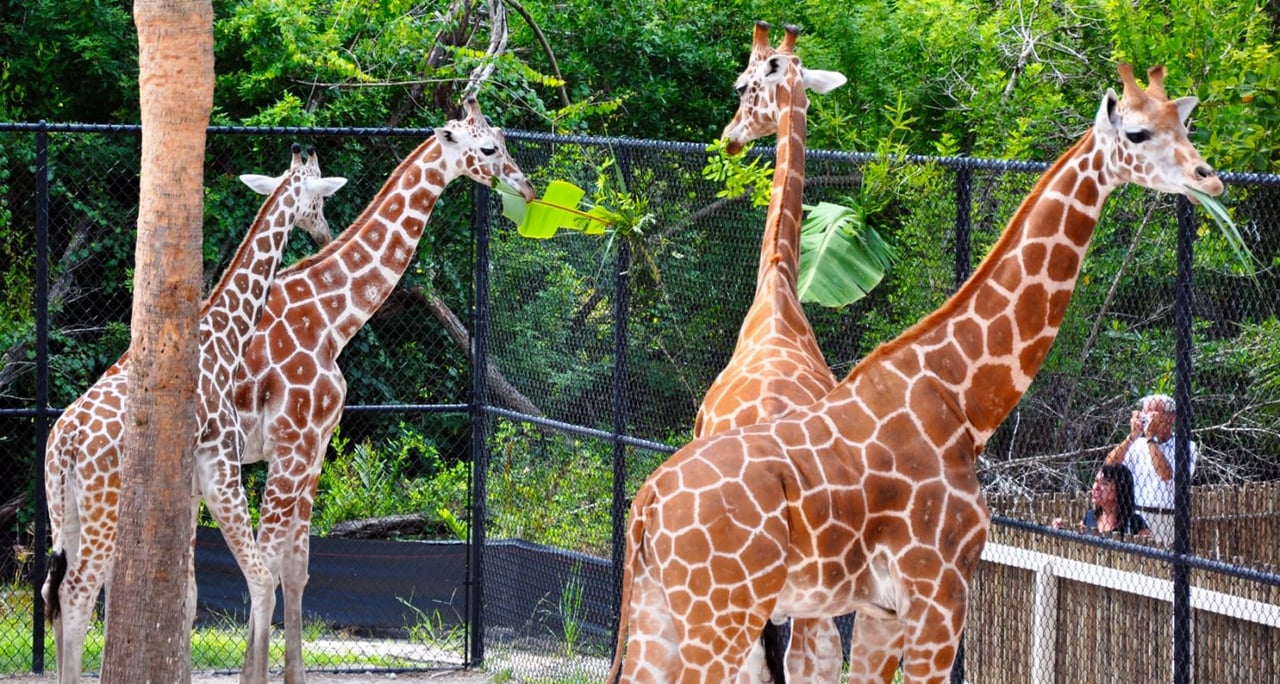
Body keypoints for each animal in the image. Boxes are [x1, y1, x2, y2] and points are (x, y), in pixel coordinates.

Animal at [42, 144, 348, 684]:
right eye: (318, 198)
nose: (324, 233)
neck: (223, 337)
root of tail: (68, 441)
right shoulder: (221, 468)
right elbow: (259, 578)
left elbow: (192, 592)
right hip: (103, 509)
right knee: (77, 594)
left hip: (65, 510)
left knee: (53, 592)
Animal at [614, 63, 1223, 681]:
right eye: (1138, 134)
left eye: (1185, 124)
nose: (1210, 178)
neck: (961, 398)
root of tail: (646, 505)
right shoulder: (939, 594)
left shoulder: (882, 610)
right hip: (723, 615)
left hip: (661, 614)